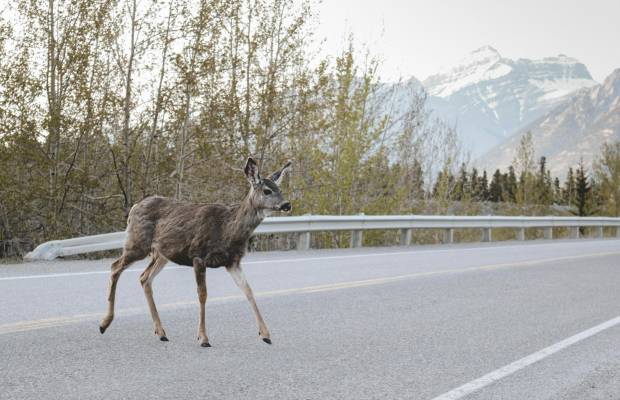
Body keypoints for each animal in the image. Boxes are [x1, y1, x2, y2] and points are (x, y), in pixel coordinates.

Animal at [98, 157, 292, 346]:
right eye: (267, 191)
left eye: (279, 188)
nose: (287, 204)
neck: (228, 229)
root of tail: (134, 207)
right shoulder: (198, 255)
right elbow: (203, 295)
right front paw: (203, 337)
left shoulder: (233, 262)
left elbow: (248, 290)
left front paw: (265, 334)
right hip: (138, 243)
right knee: (115, 267)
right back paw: (104, 323)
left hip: (162, 253)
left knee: (144, 277)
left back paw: (161, 332)